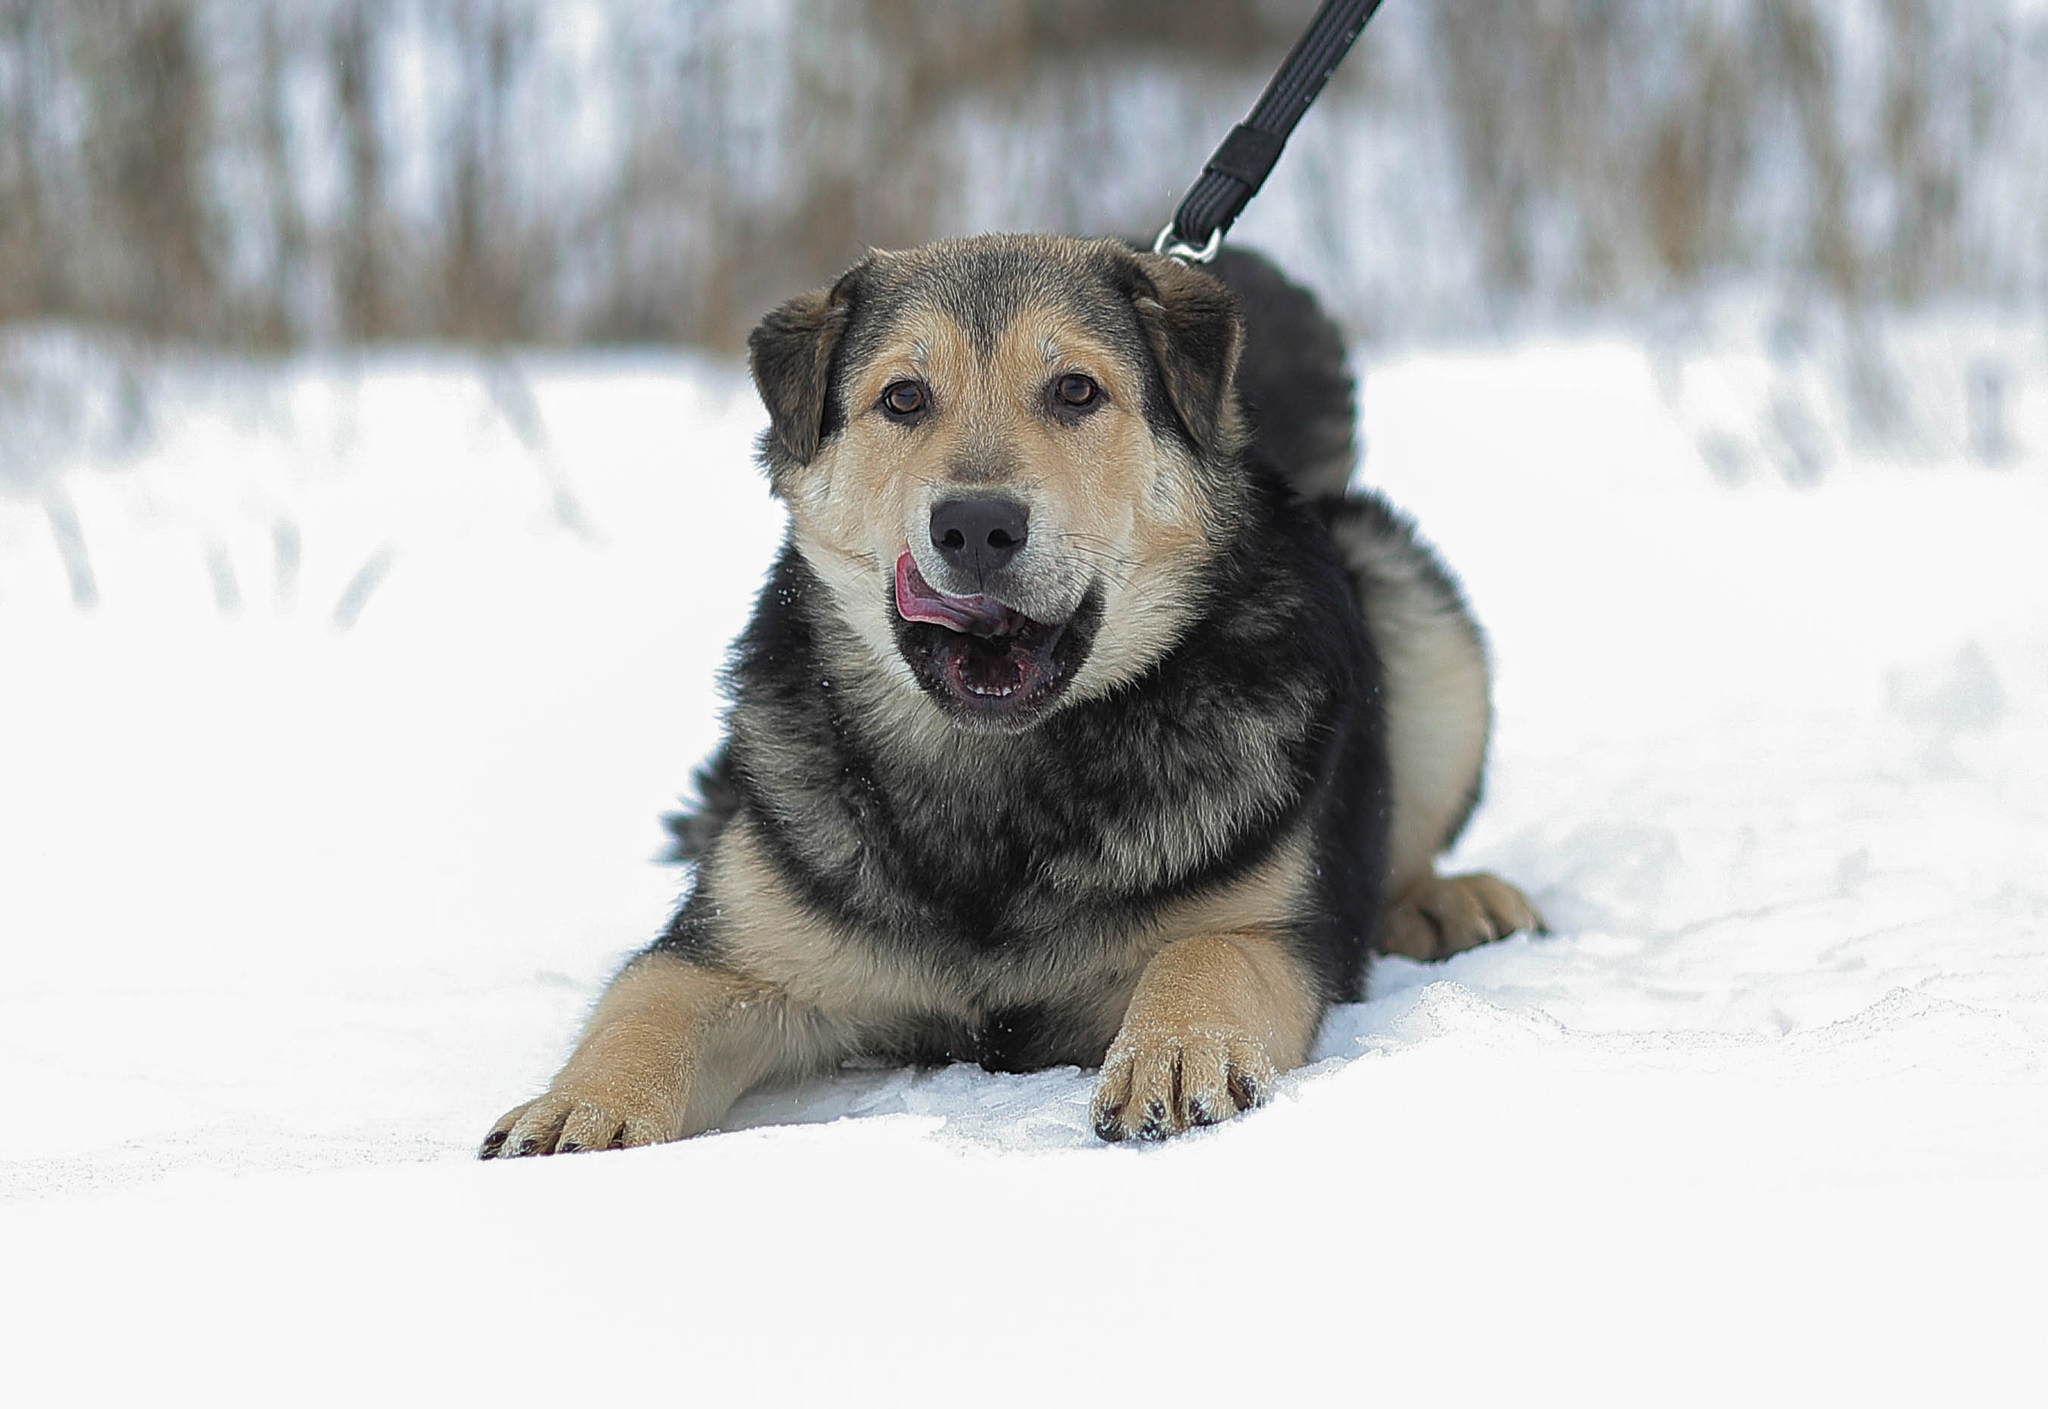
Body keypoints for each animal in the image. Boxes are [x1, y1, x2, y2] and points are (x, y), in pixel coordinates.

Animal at [475, 233, 1540, 1155]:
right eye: (904, 398)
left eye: (1075, 390)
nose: (977, 525)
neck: (996, 773)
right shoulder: (734, 952)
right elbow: (646, 1002)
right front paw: (582, 1104)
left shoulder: (1277, 928)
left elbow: (1208, 953)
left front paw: (1174, 1050)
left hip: (1403, 584)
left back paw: (1446, 901)